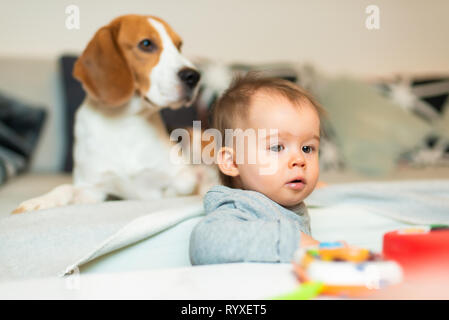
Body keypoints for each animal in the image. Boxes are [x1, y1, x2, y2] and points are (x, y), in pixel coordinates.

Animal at [12, 14, 212, 212]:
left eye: (179, 46)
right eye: (146, 44)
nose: (194, 76)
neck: (126, 122)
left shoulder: (181, 176)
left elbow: (182, 185)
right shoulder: (93, 190)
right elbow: (66, 188)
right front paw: (39, 201)